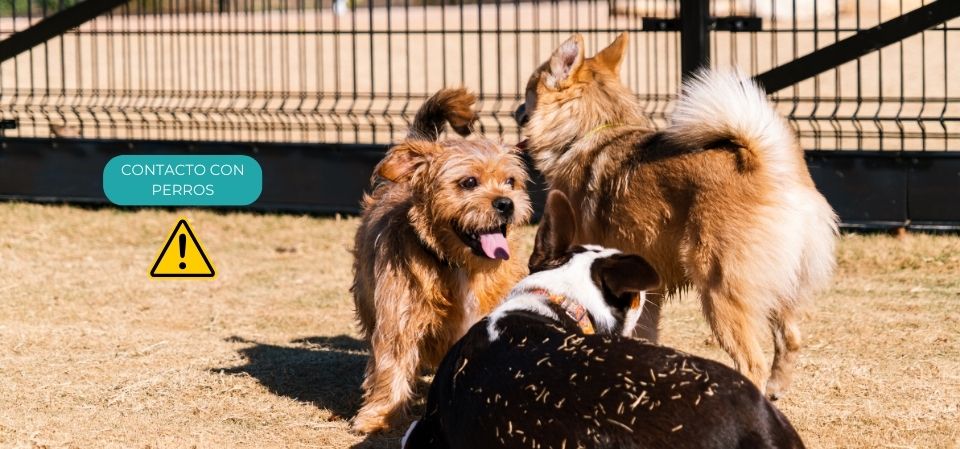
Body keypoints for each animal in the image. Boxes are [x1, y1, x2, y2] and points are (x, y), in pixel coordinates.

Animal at [352, 86, 532, 430]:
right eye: (469, 182)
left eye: (510, 182)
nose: (506, 203)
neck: (459, 265)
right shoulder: (399, 318)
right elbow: (392, 364)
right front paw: (382, 416)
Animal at [512, 35, 836, 400]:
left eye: (529, 91)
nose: (516, 110)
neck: (587, 132)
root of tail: (772, 167)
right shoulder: (646, 291)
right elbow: (644, 333)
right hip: (782, 287)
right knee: (790, 338)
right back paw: (775, 390)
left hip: (719, 290)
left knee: (752, 361)